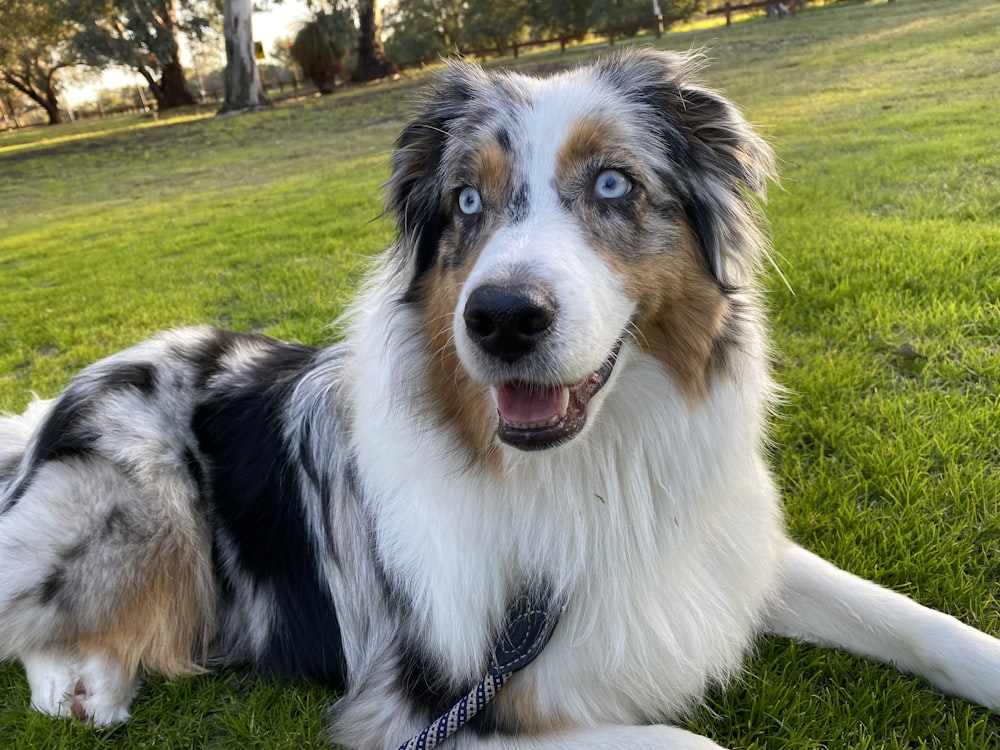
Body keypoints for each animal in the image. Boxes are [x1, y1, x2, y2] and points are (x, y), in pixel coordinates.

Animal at [1, 50, 1000, 748]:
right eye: (468, 203)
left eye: (613, 184)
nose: (502, 318)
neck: (595, 473)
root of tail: (52, 406)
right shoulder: (425, 707)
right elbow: (691, 742)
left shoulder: (712, 552)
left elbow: (912, 618)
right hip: (138, 507)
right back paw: (75, 686)